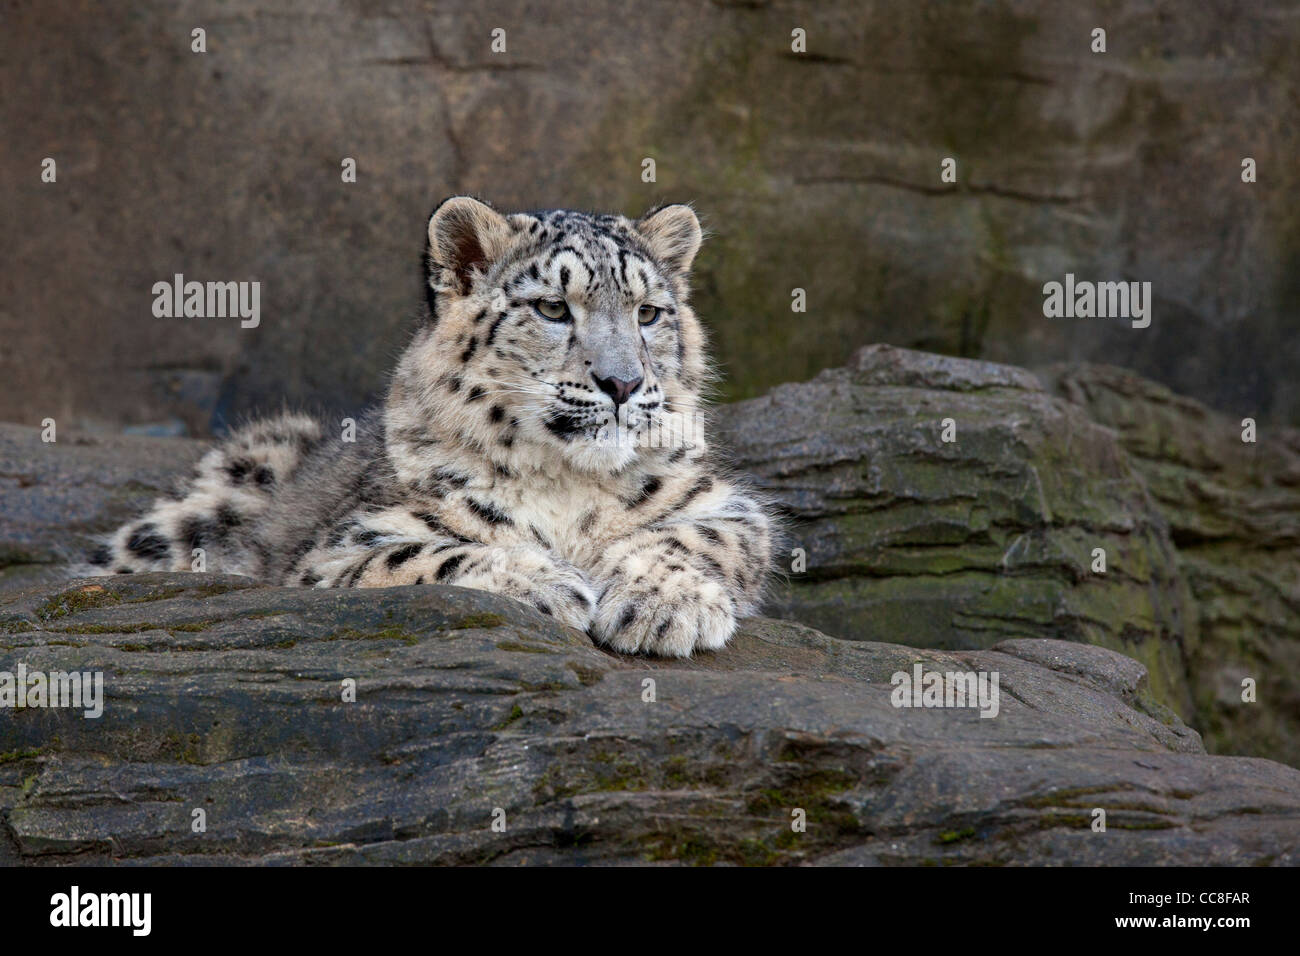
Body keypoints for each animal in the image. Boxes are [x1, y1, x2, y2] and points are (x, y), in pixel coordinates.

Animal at [80, 197, 776, 657]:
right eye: (553, 307)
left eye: (649, 312)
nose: (623, 382)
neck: (568, 485)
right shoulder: (340, 551)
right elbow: (428, 554)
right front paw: (545, 582)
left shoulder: (725, 506)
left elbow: (695, 537)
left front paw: (666, 603)